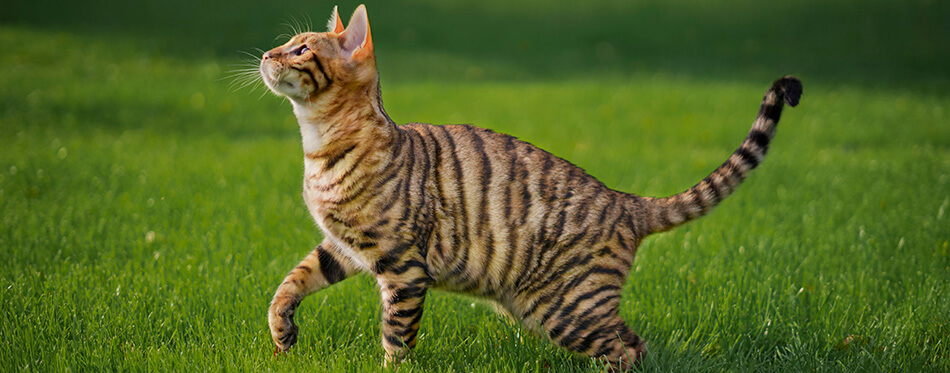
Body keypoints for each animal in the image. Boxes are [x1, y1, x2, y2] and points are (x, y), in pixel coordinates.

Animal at [258, 4, 804, 368]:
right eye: (287, 43)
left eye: (301, 49)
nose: (265, 53)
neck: (319, 149)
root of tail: (626, 201)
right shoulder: (342, 247)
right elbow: (287, 287)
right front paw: (283, 339)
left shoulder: (402, 267)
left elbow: (396, 339)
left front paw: (388, 365)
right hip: (553, 308)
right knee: (635, 343)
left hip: (567, 308)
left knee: (626, 351)